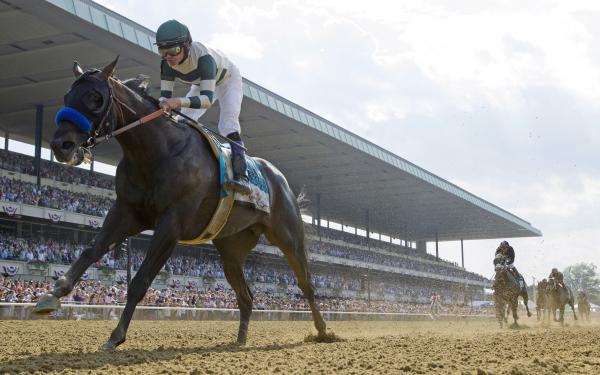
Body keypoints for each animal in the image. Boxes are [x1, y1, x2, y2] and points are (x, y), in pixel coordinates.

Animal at [32, 58, 328, 350]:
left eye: (95, 97)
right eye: (67, 96)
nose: (61, 145)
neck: (157, 152)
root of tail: (280, 179)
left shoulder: (171, 224)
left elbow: (140, 281)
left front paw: (116, 336)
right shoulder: (126, 213)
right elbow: (90, 251)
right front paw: (50, 296)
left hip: (287, 236)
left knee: (306, 283)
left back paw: (323, 331)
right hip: (231, 249)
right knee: (246, 295)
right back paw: (240, 340)